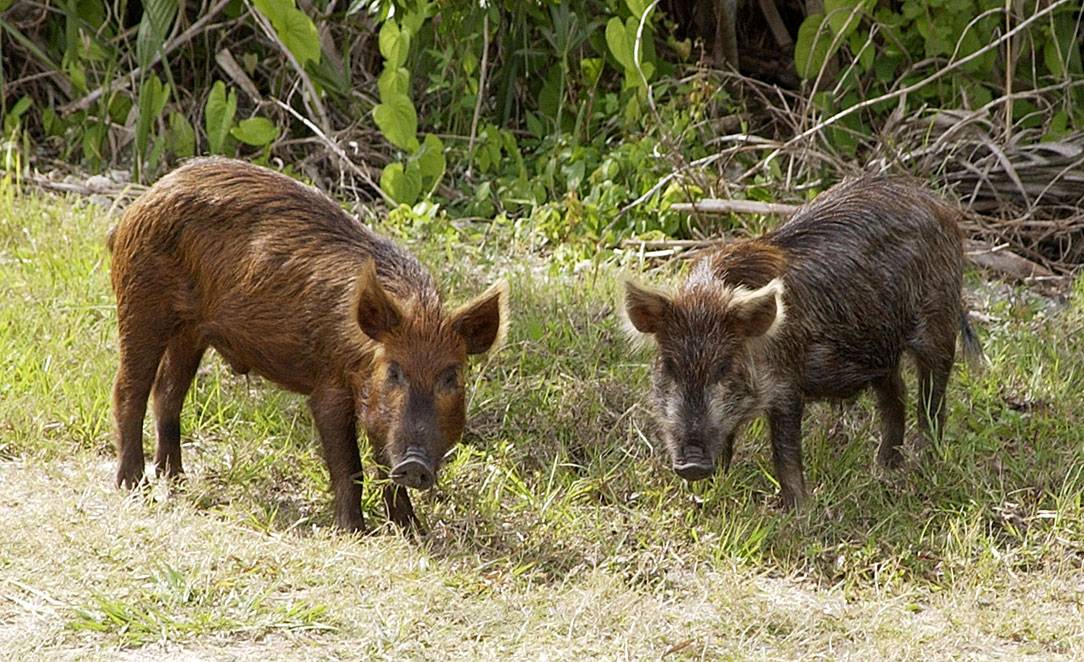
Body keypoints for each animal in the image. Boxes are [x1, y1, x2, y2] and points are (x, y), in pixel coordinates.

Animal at [109, 157, 508, 531]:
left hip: (191, 332)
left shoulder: (378, 412)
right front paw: (354, 531)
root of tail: (141, 202)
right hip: (141, 302)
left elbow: (383, 463)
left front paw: (413, 531)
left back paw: (175, 478)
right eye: (394, 371)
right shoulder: (328, 387)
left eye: (451, 377)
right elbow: (349, 465)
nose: (415, 464)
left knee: (167, 393)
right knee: (129, 389)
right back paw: (134, 485)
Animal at [622, 176, 983, 508]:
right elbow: (727, 442)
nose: (692, 465)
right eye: (669, 366)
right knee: (896, 395)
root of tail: (940, 207)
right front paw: (706, 495)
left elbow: (785, 451)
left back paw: (924, 464)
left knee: (932, 401)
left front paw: (797, 510)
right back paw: (884, 468)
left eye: (724, 367)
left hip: (938, 327)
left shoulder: (786, 385)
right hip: (880, 351)